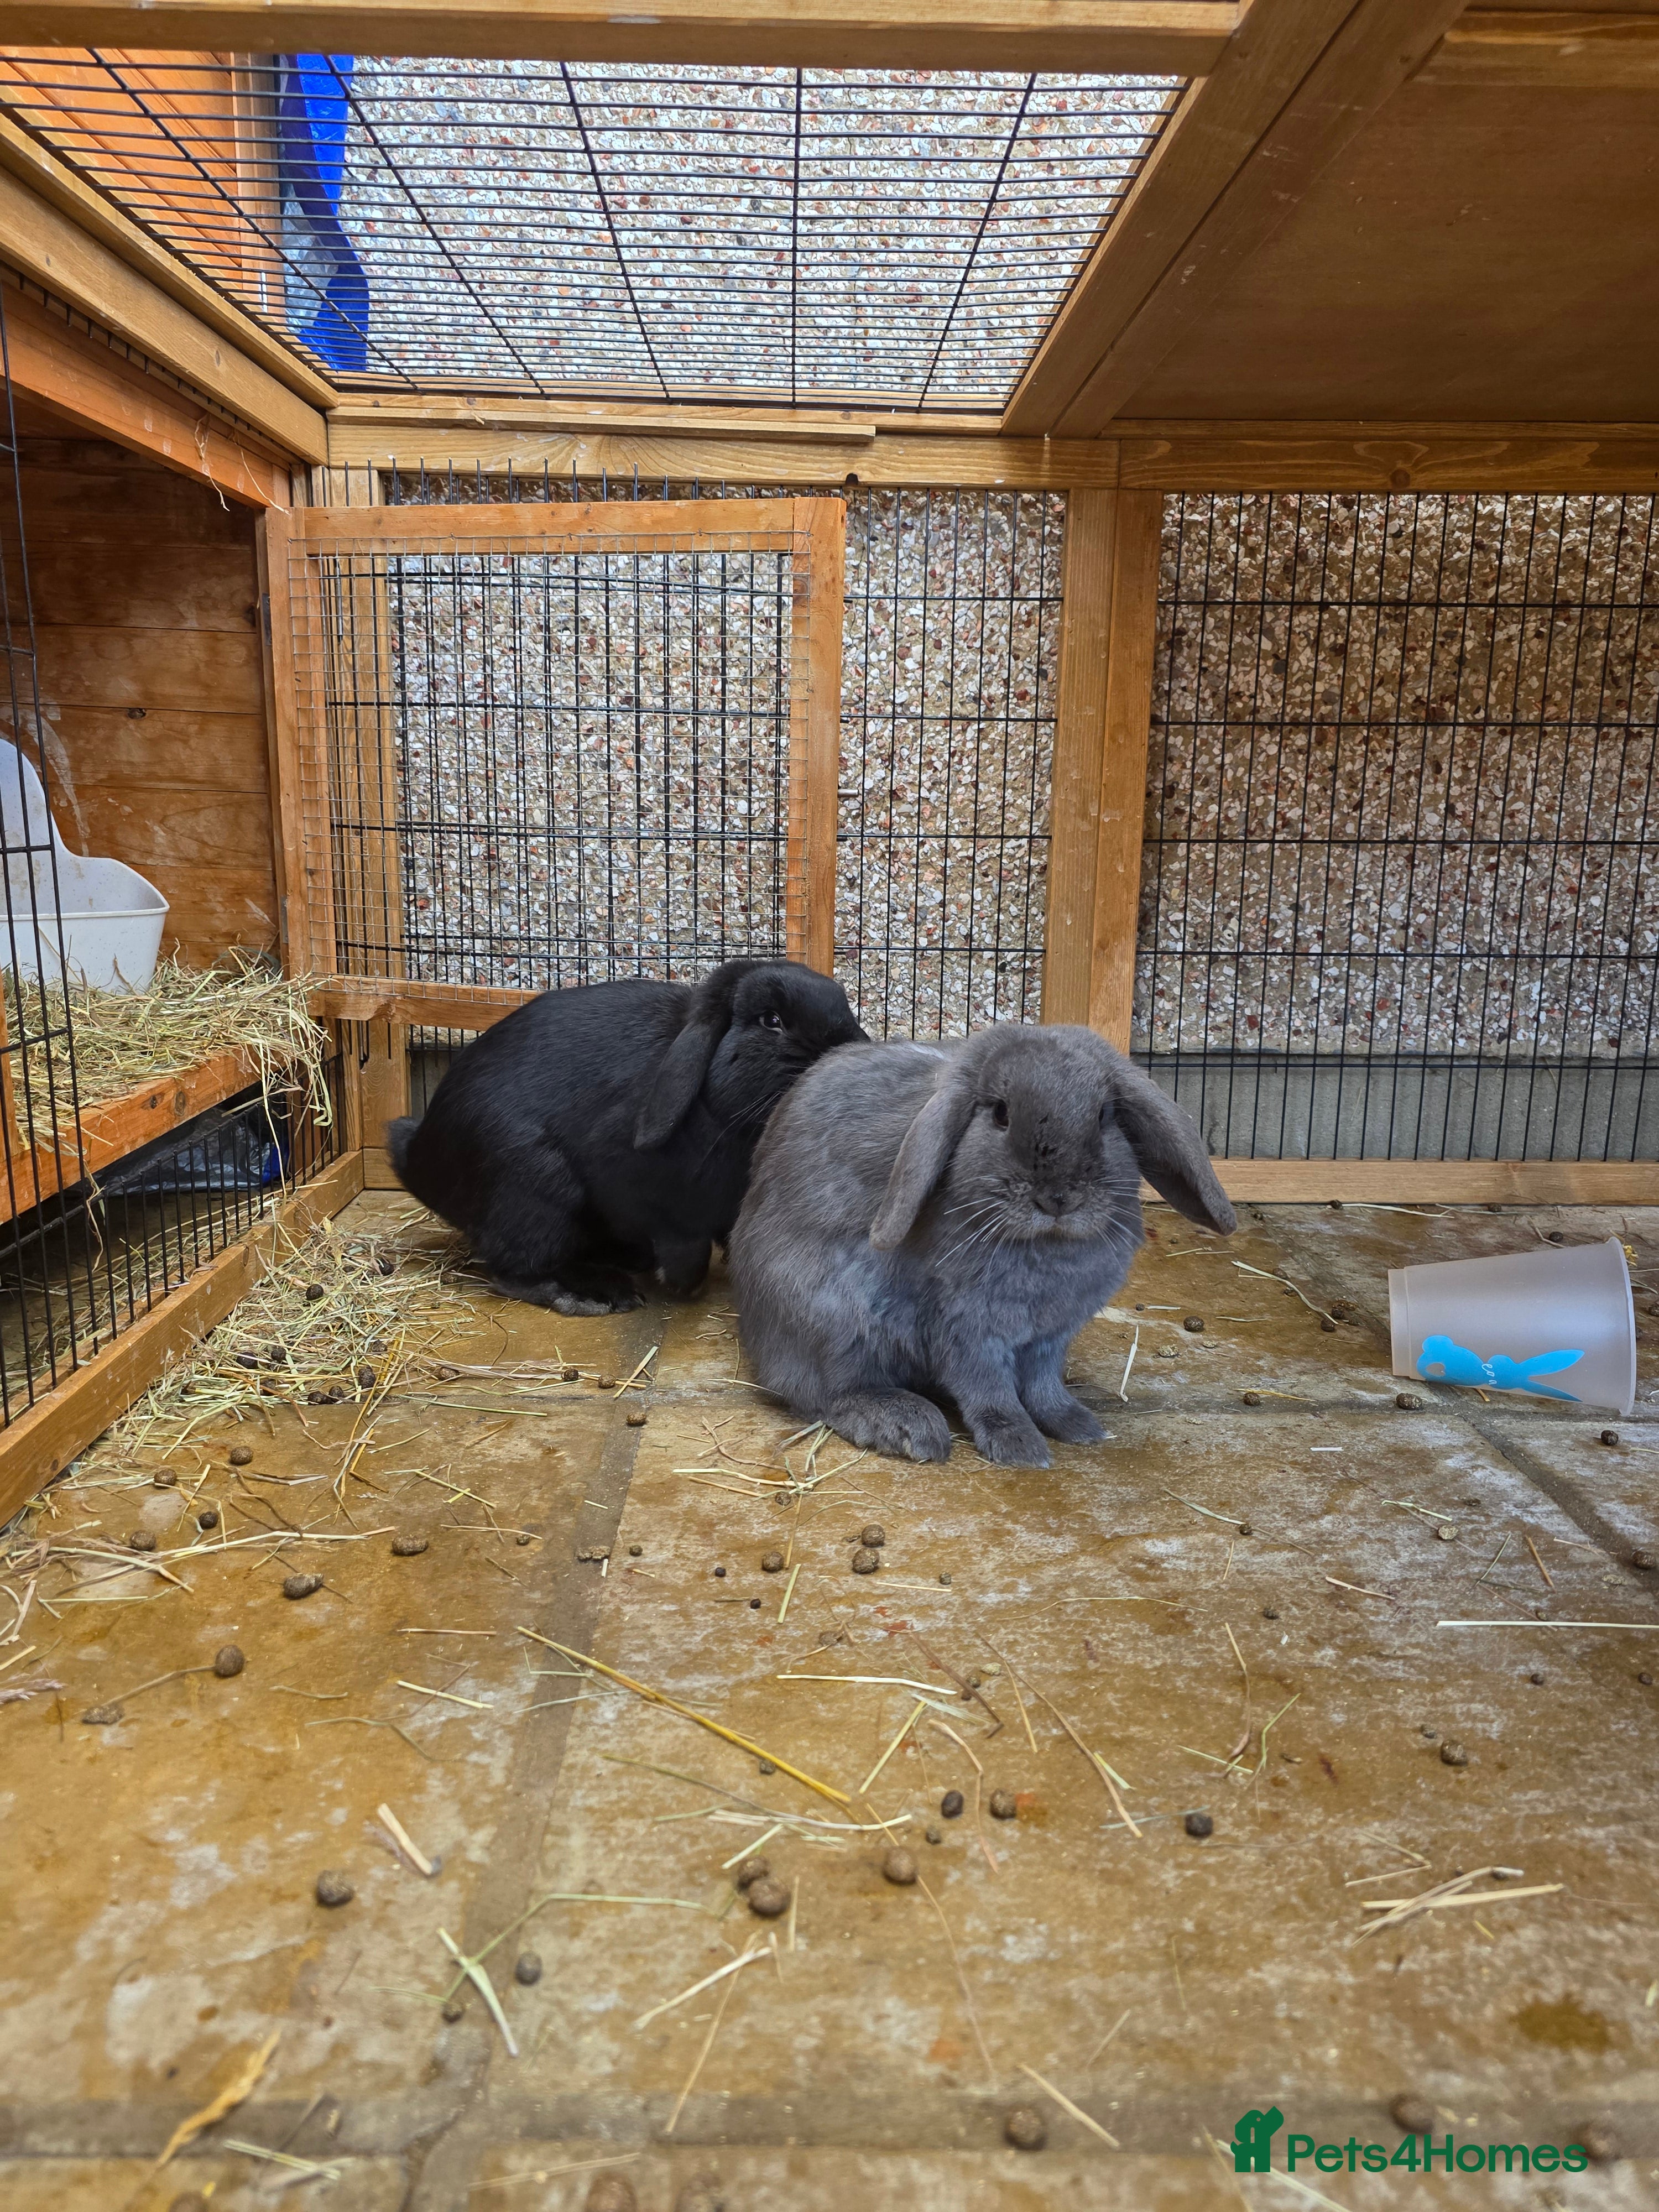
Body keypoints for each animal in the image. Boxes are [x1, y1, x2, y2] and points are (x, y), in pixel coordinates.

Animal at [387, 957, 866, 1315]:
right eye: (772, 1021)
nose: (845, 1052)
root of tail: (417, 1159)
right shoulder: (652, 1201)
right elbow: (687, 1249)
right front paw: (683, 1285)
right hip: (533, 1192)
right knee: (516, 1270)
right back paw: (592, 1295)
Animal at [729, 1022, 1235, 1467]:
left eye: (1104, 1116)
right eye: (1000, 1113)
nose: (1058, 1197)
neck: (1045, 1246)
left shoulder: (1049, 1339)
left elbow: (1044, 1389)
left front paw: (1078, 1426)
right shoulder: (968, 1333)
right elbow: (990, 1393)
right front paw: (1020, 1449)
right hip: (832, 1323)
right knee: (827, 1393)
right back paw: (906, 1426)